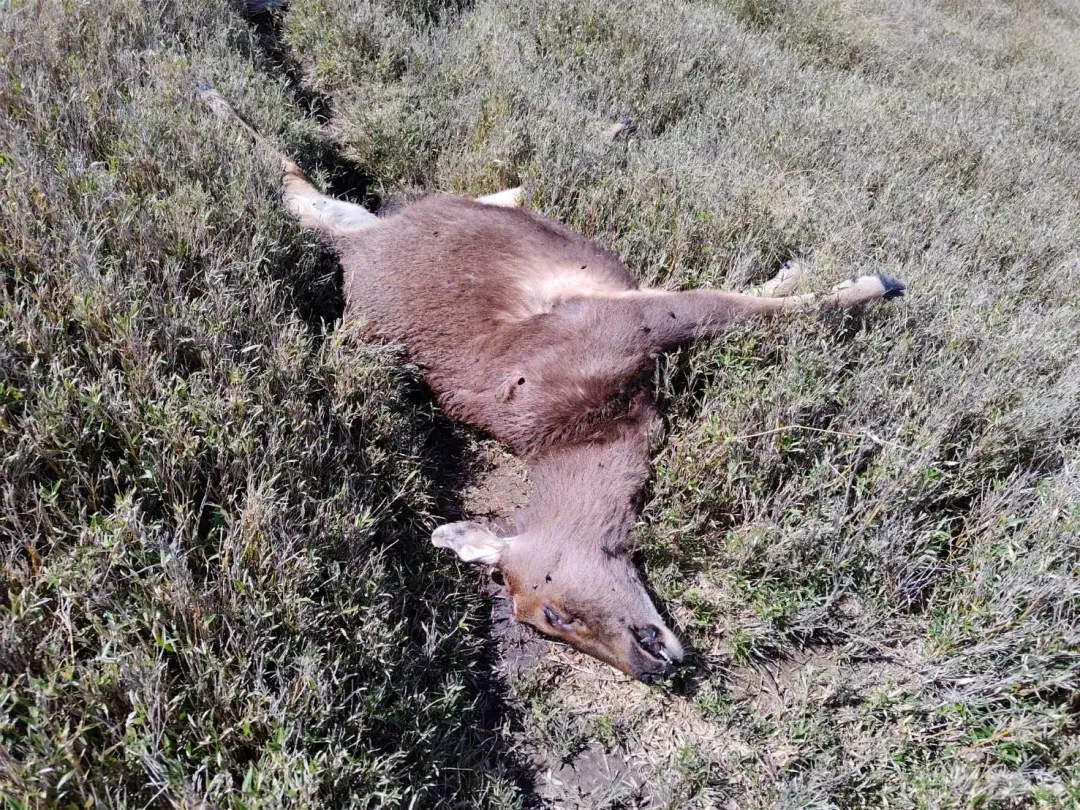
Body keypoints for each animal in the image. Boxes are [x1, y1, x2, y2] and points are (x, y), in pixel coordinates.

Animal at [198, 86, 905, 684]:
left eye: (555, 610)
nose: (651, 666)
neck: (605, 427)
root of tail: (357, 250)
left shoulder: (631, 321)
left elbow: (757, 306)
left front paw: (869, 280)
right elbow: (756, 305)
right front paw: (836, 273)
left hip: (381, 217)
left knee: (336, 184)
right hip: (368, 219)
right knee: (339, 188)